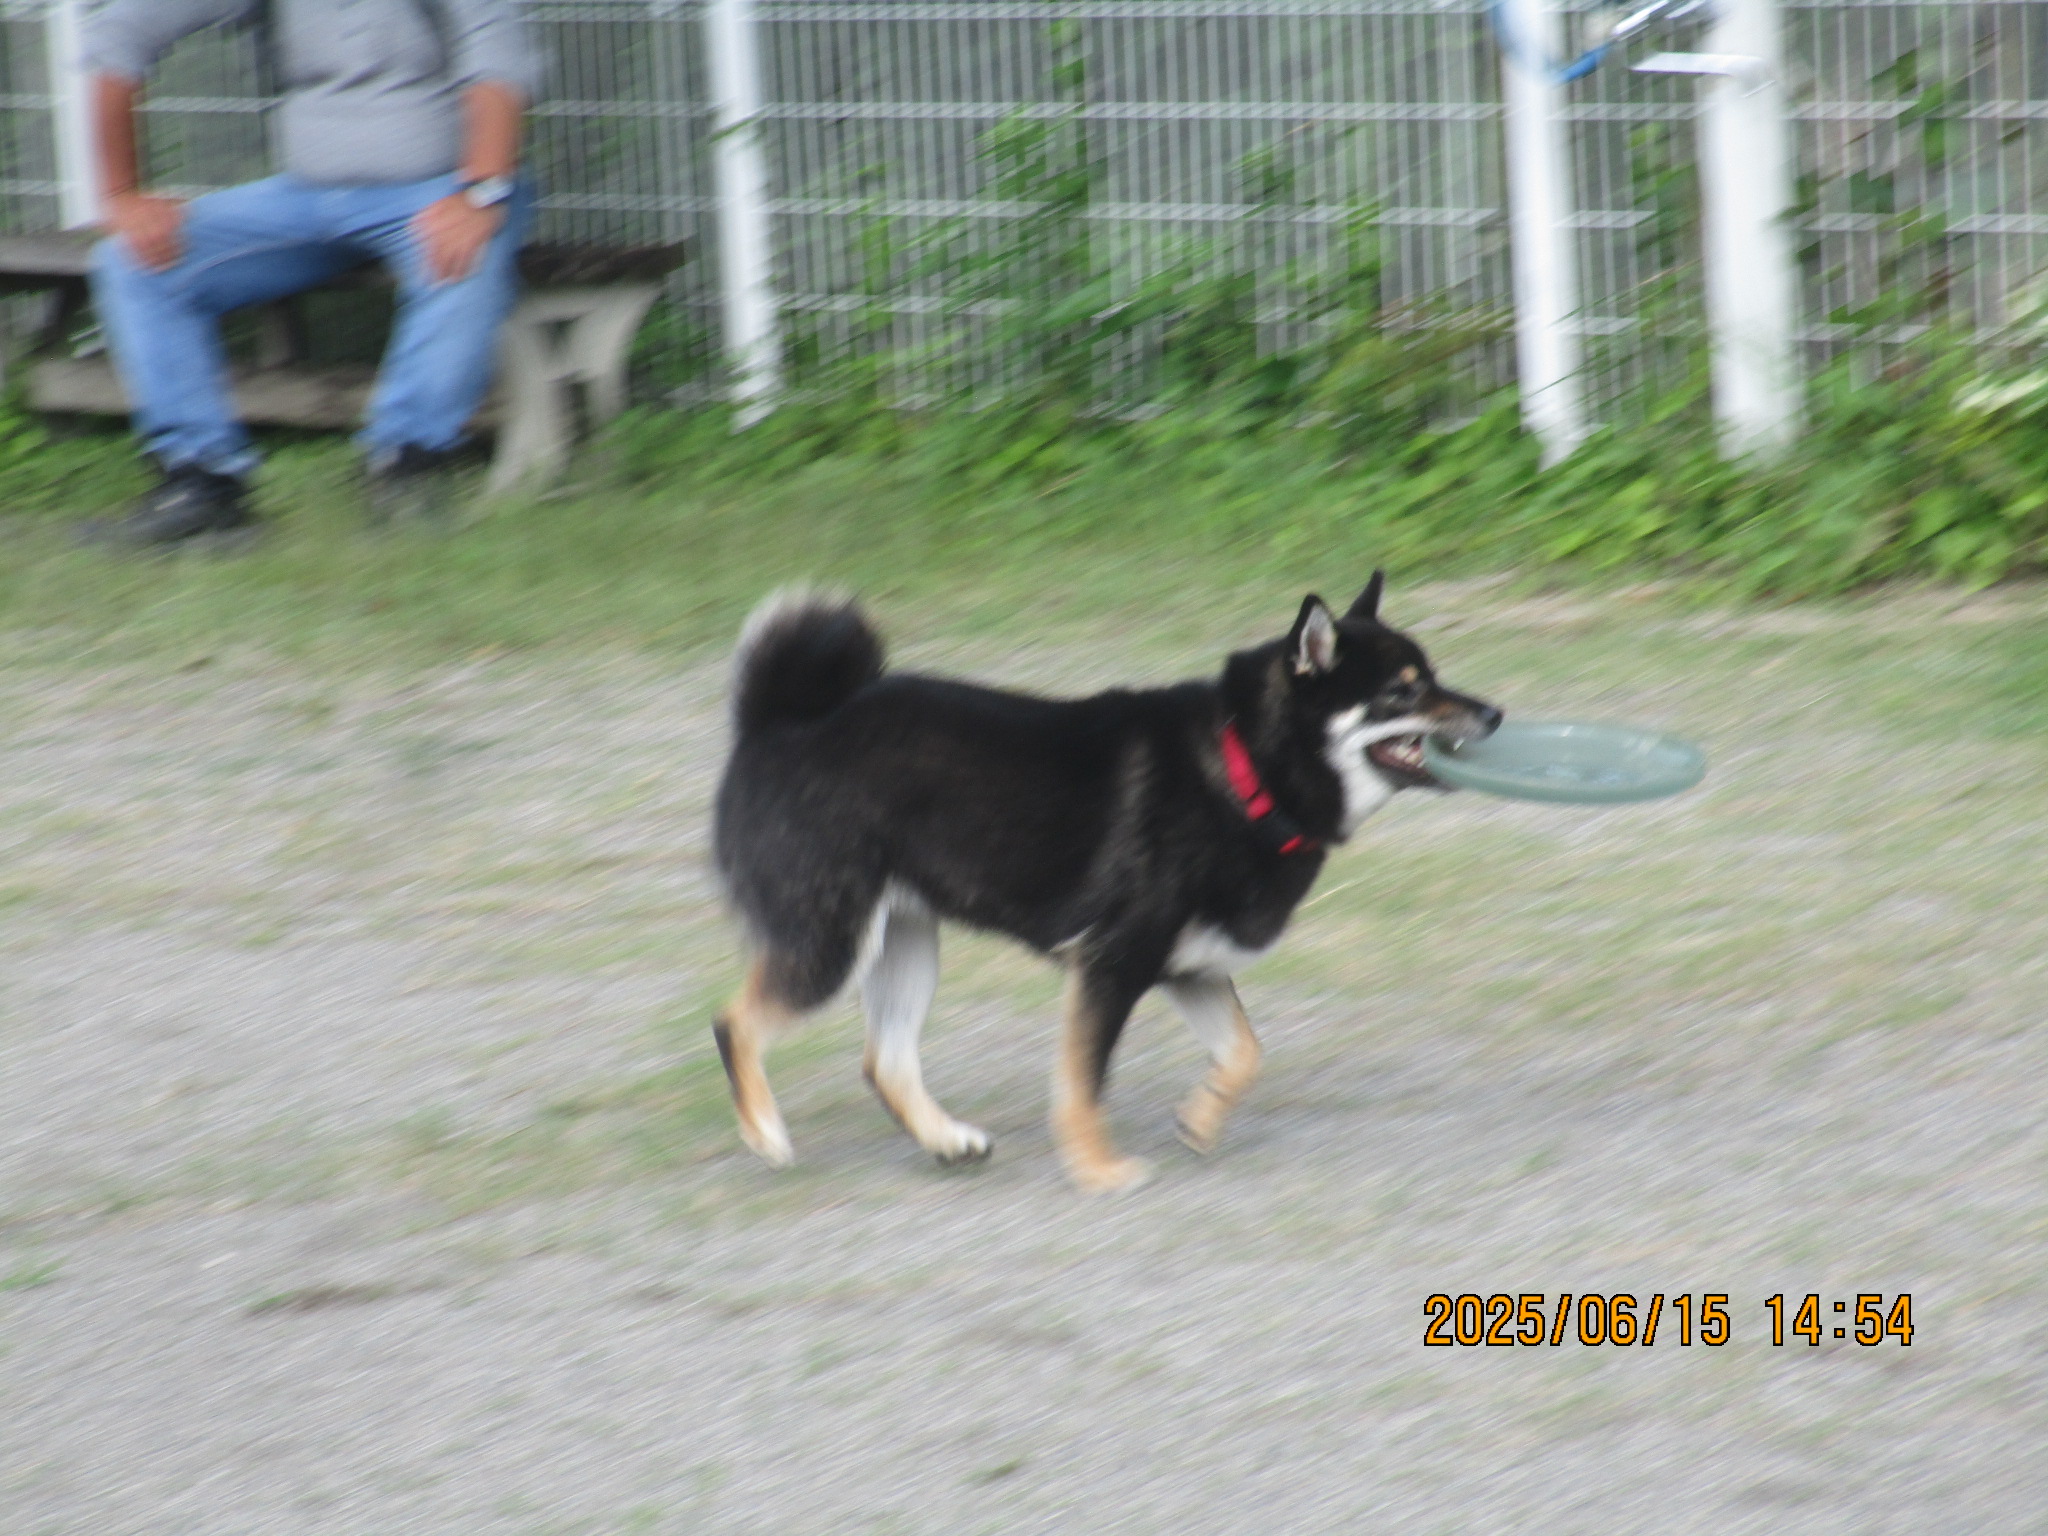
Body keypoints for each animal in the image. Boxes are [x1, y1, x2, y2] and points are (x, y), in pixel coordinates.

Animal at [710, 573, 1501, 1192]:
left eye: (1432, 676)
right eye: (1403, 692)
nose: (1494, 712)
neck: (1246, 770)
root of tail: (777, 723)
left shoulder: (1190, 966)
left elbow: (1245, 1053)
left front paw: (1199, 1120)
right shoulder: (1113, 963)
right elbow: (1084, 1082)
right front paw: (1097, 1170)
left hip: (905, 945)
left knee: (886, 1061)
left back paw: (947, 1140)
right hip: (831, 945)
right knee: (734, 1023)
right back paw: (765, 1134)